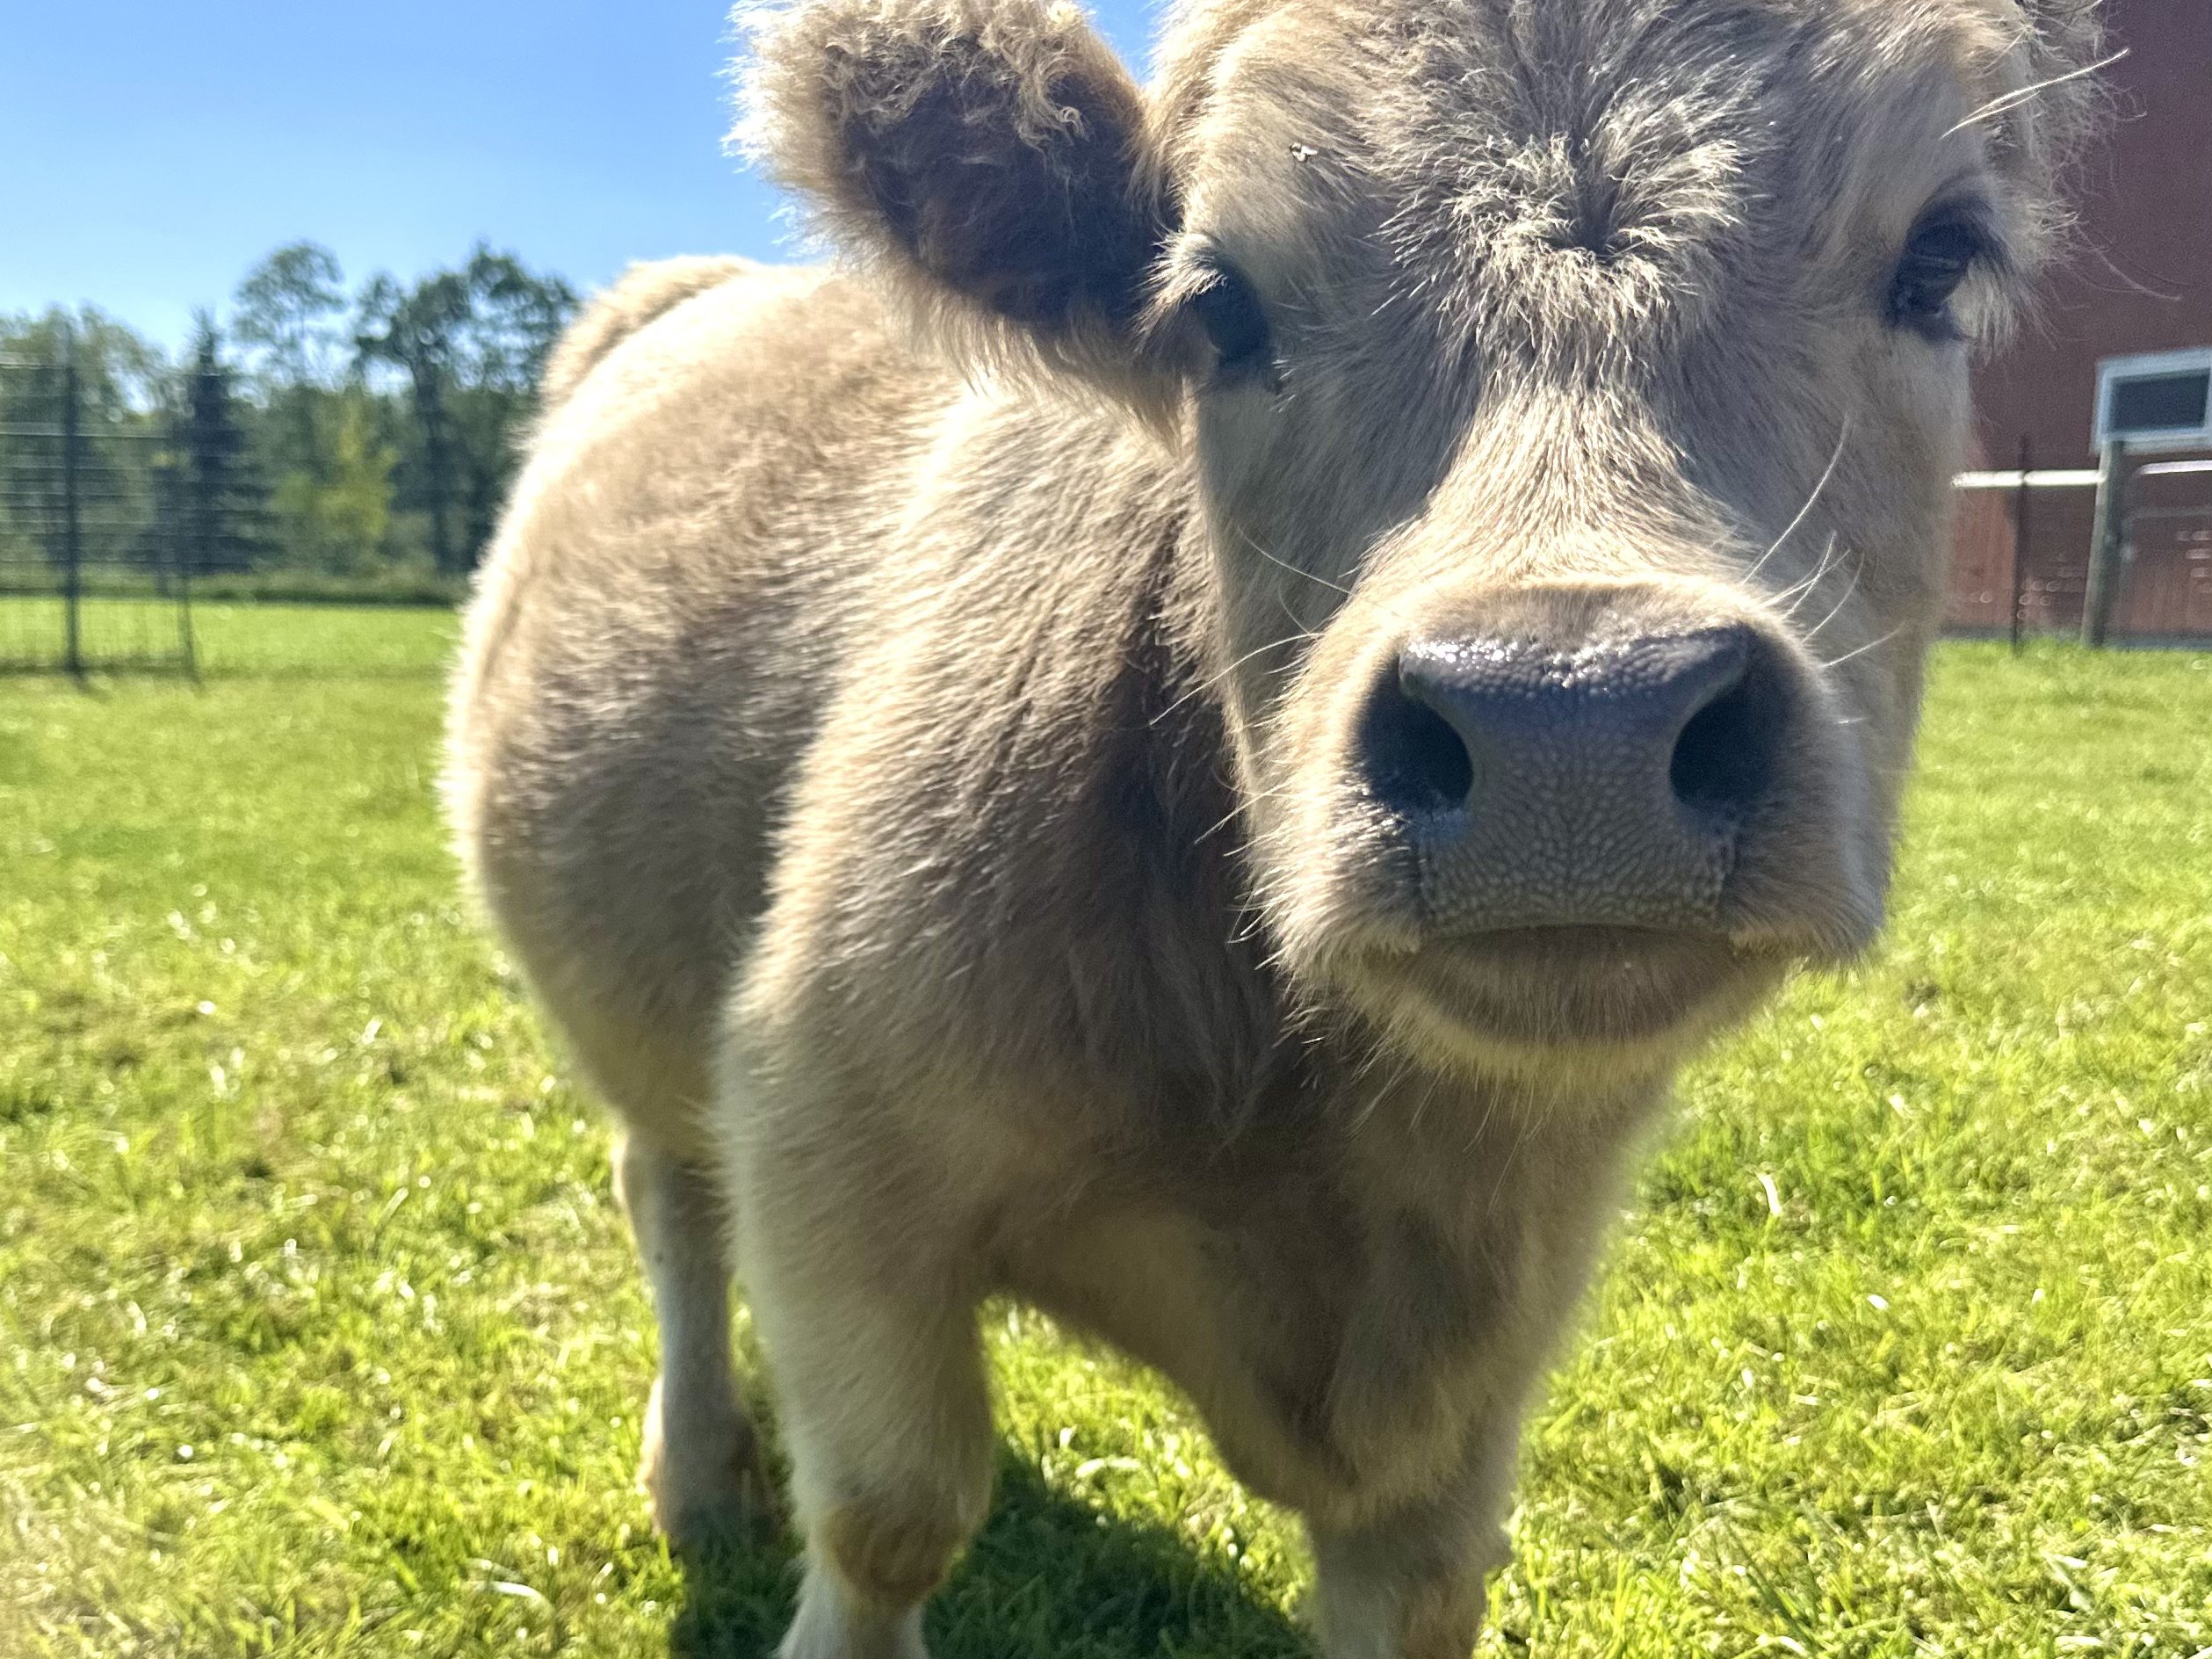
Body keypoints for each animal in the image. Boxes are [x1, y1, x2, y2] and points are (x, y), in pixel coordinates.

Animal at [446, 0, 2104, 1652]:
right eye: (1219, 305)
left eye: (1936, 260)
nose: (1570, 723)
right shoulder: (822, 1134)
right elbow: (888, 1518)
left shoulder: (1480, 1361)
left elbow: (1422, 1581)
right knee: (670, 1197)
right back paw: (698, 1475)